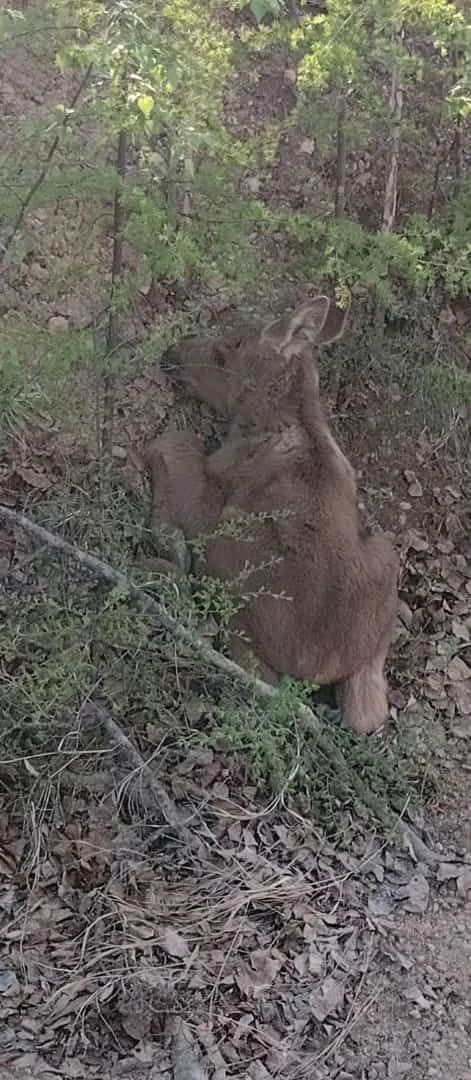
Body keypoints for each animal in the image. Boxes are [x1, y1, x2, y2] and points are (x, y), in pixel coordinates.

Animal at [144, 295, 397, 734]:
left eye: (225, 350)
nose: (172, 354)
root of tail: (314, 668)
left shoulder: (209, 500)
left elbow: (174, 440)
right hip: (386, 555)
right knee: (369, 711)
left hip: (228, 547)